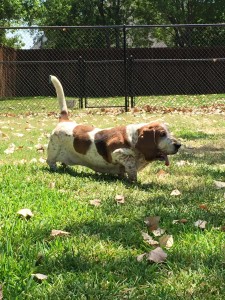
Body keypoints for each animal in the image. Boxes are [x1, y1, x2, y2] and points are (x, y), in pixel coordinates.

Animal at [47, 76, 181, 182]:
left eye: (169, 132)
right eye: (162, 134)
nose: (179, 145)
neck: (133, 139)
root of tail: (65, 120)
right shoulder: (116, 153)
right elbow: (130, 165)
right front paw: (133, 180)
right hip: (53, 152)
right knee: (50, 161)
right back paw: (55, 168)